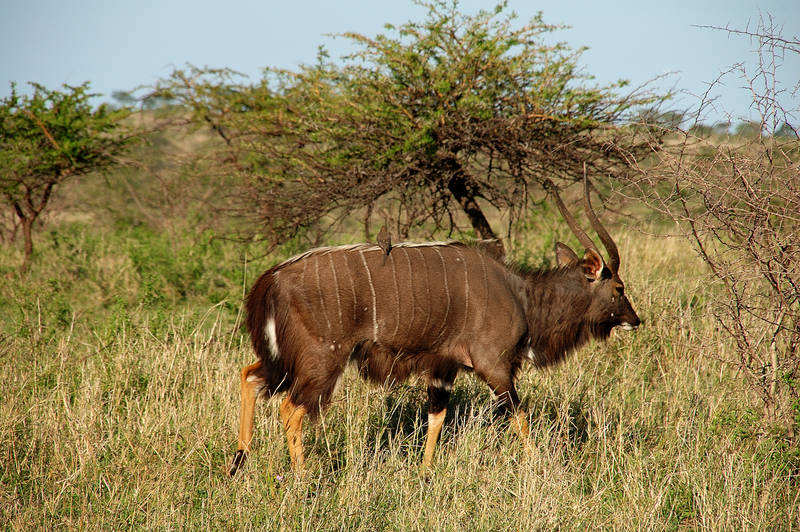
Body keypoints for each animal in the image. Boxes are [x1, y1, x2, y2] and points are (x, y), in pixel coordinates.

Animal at [228, 178, 640, 474]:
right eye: (619, 289)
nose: (636, 320)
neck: (520, 294)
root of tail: (271, 279)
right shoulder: (494, 366)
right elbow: (519, 415)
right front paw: (539, 467)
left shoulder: (443, 368)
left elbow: (436, 416)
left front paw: (424, 473)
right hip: (322, 361)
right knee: (290, 409)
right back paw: (301, 480)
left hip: (283, 361)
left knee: (249, 376)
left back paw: (238, 464)